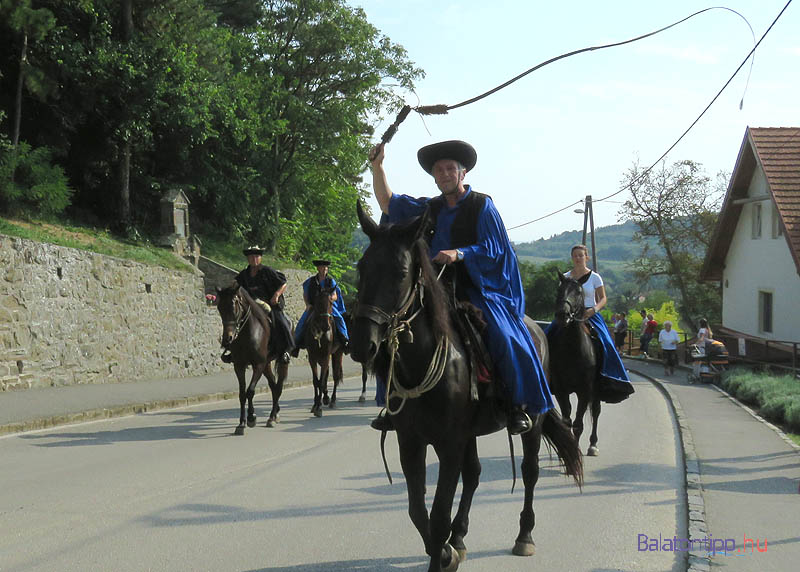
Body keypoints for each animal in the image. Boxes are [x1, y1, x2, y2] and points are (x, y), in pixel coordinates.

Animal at [217, 284, 290, 436]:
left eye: (234, 306)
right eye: (219, 307)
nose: (227, 339)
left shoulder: (258, 365)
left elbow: (250, 391)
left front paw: (251, 418)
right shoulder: (239, 366)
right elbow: (242, 394)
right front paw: (241, 423)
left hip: (279, 363)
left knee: (278, 386)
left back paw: (272, 417)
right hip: (267, 365)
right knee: (273, 386)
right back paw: (274, 414)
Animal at [304, 286, 342, 416]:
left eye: (331, 302)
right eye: (318, 303)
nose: (326, 326)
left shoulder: (326, 356)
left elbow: (321, 381)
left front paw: (319, 408)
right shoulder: (312, 358)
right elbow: (316, 381)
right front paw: (315, 404)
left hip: (337, 353)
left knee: (335, 376)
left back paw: (333, 400)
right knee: (326, 374)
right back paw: (325, 398)